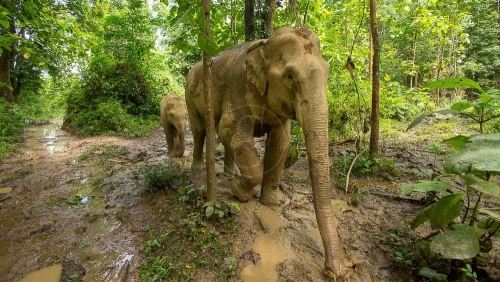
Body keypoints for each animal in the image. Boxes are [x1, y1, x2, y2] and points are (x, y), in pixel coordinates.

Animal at [185, 26, 348, 278]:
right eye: (289, 77)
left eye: (328, 72)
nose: (334, 271)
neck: (265, 44)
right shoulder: (238, 87)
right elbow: (230, 129)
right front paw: (240, 193)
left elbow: (280, 142)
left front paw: (272, 202)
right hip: (189, 94)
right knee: (201, 130)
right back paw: (198, 169)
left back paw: (229, 174)